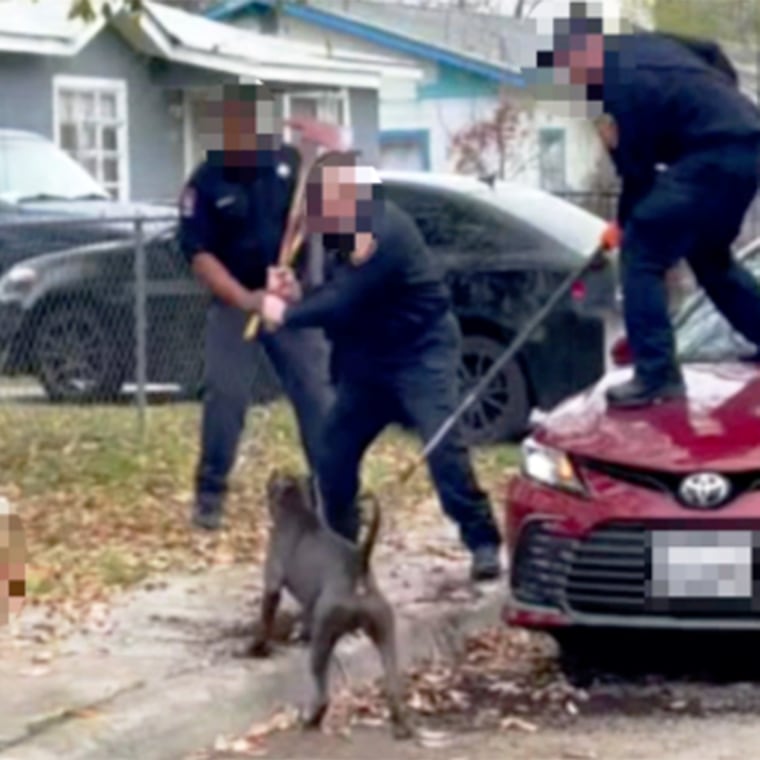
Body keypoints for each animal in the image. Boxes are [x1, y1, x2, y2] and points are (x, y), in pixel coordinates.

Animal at [251, 466, 416, 740]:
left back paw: (311, 721)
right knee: (394, 684)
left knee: (322, 692)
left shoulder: (272, 583)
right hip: (385, 631)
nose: (272, 470)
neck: (298, 510)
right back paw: (402, 725)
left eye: (274, 478)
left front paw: (255, 649)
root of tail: (359, 564)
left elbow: (265, 620)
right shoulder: (309, 603)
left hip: (325, 635)